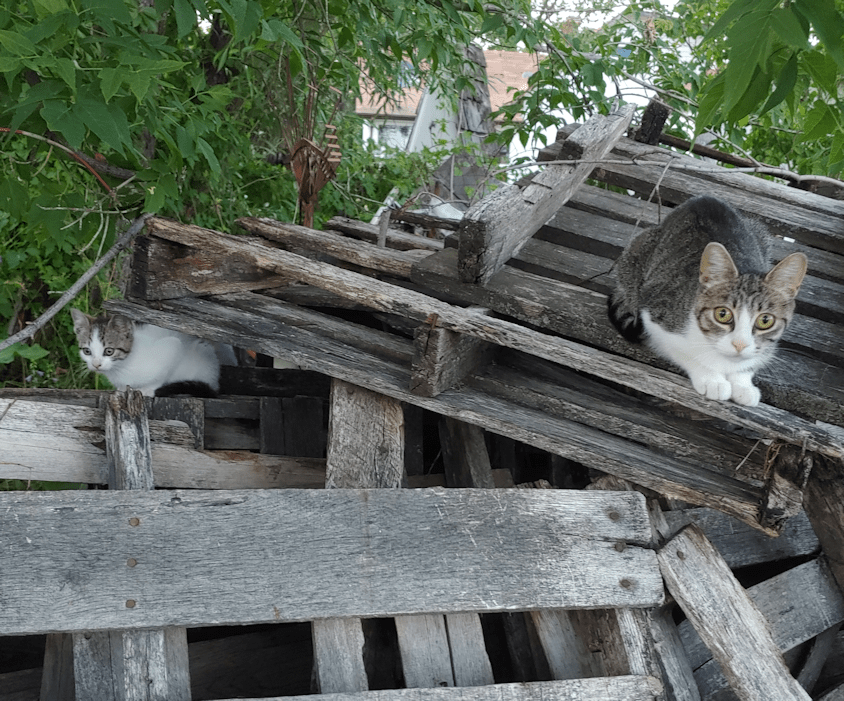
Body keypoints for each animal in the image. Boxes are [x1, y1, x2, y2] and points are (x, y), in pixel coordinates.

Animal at [70, 308, 232, 397]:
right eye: (87, 351)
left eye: (109, 351)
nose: (96, 364)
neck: (122, 367)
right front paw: (121, 389)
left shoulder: (173, 347)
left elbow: (162, 375)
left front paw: (148, 389)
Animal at [607, 195, 807, 407]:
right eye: (722, 314)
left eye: (765, 320)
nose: (739, 345)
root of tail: (702, 198)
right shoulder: (654, 313)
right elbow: (683, 351)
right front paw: (712, 378)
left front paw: (742, 383)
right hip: (636, 253)